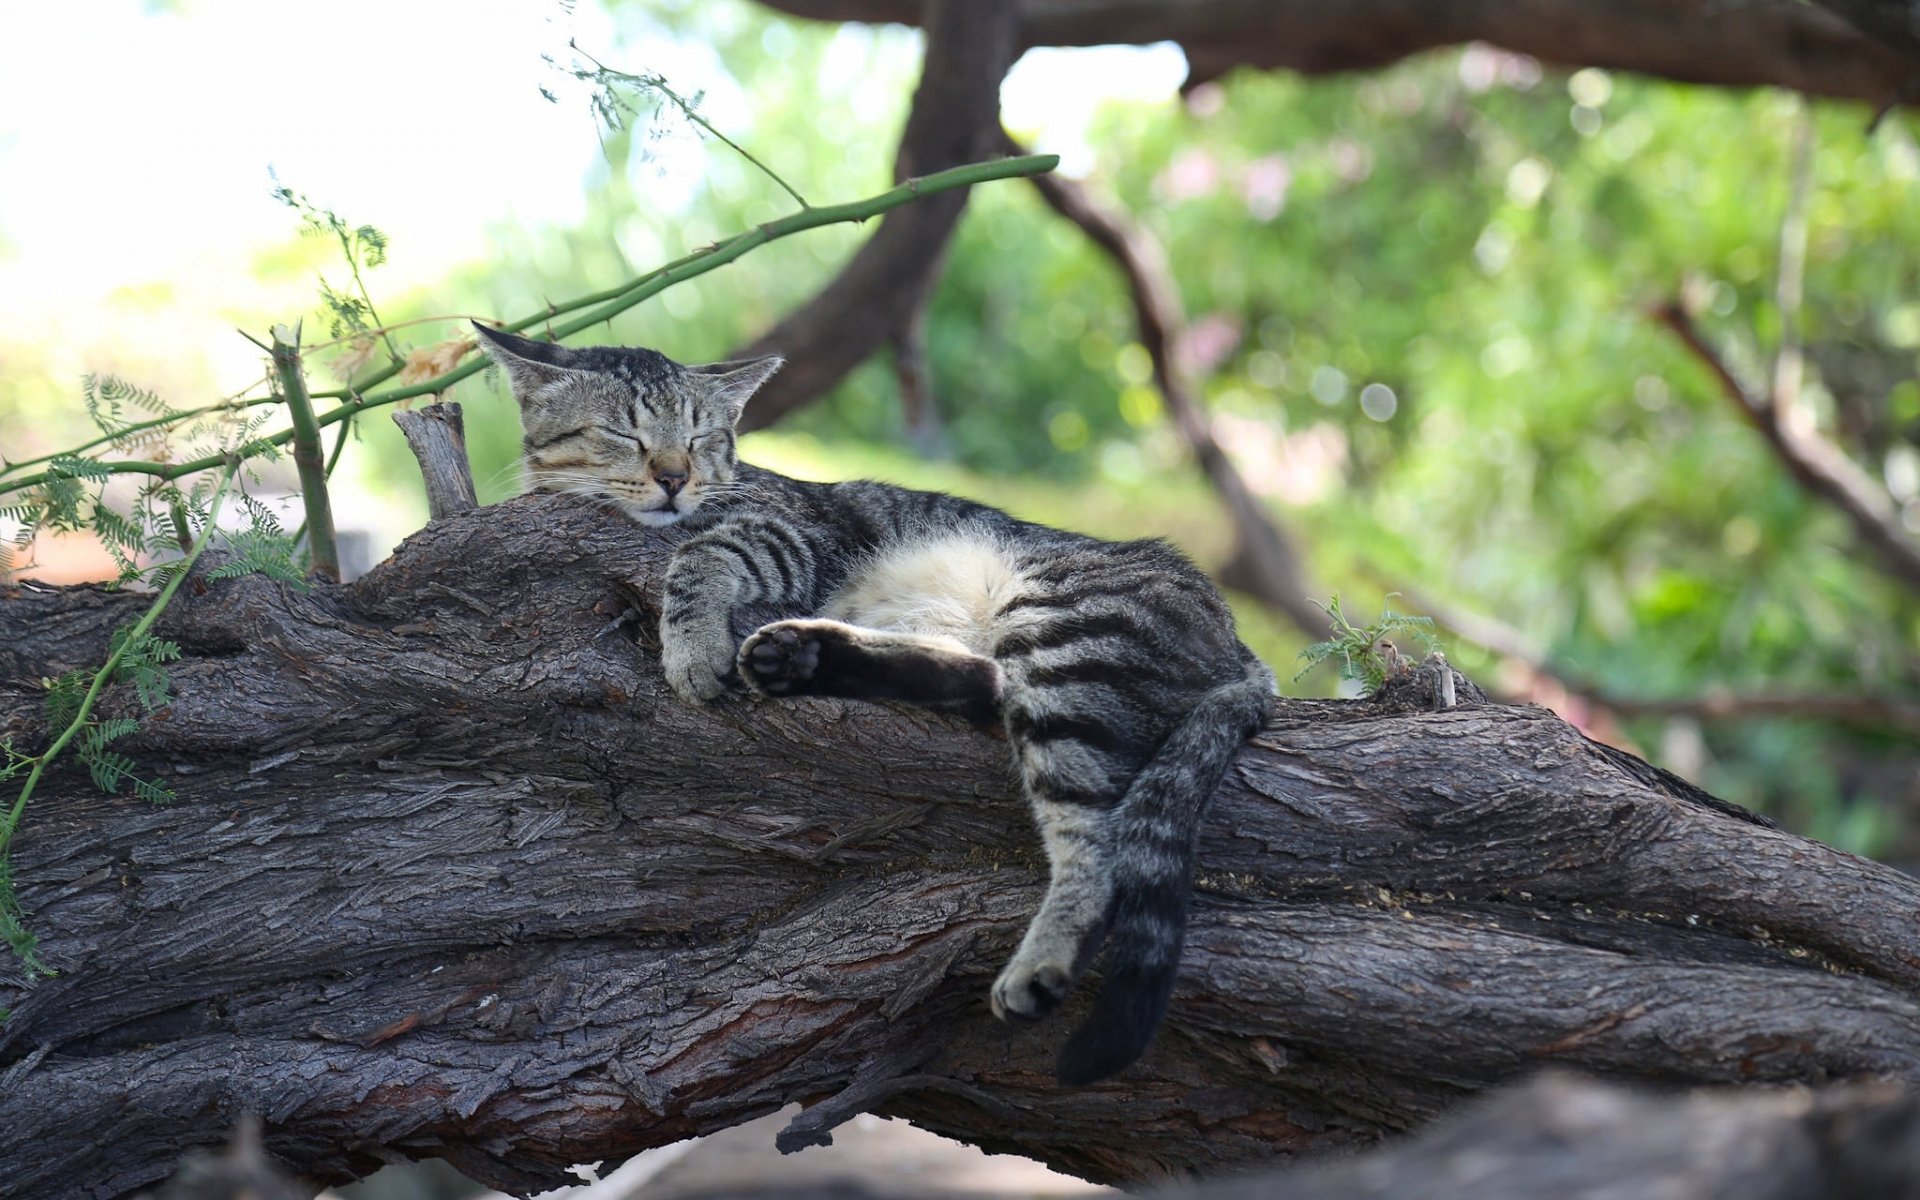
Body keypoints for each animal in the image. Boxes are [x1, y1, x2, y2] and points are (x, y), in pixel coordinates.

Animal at [474, 322, 1274, 1082]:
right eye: (625, 434)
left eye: (702, 439)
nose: (675, 477)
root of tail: (1238, 636)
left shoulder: (790, 530)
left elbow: (702, 555)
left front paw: (691, 646)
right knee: (981, 681)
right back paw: (801, 658)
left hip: (1056, 626)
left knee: (1094, 844)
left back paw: (1040, 962)